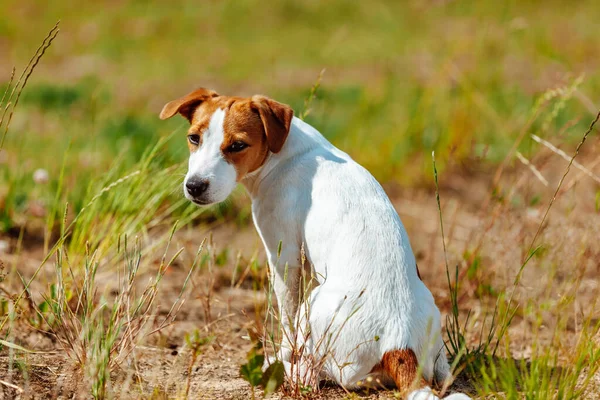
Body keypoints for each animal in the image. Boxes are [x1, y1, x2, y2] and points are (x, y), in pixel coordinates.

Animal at [159, 88, 468, 400]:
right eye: (193, 138)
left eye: (237, 145)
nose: (194, 186)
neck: (283, 152)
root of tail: (399, 343)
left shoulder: (284, 257)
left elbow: (286, 321)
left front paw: (282, 353)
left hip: (314, 304)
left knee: (311, 372)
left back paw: (275, 367)